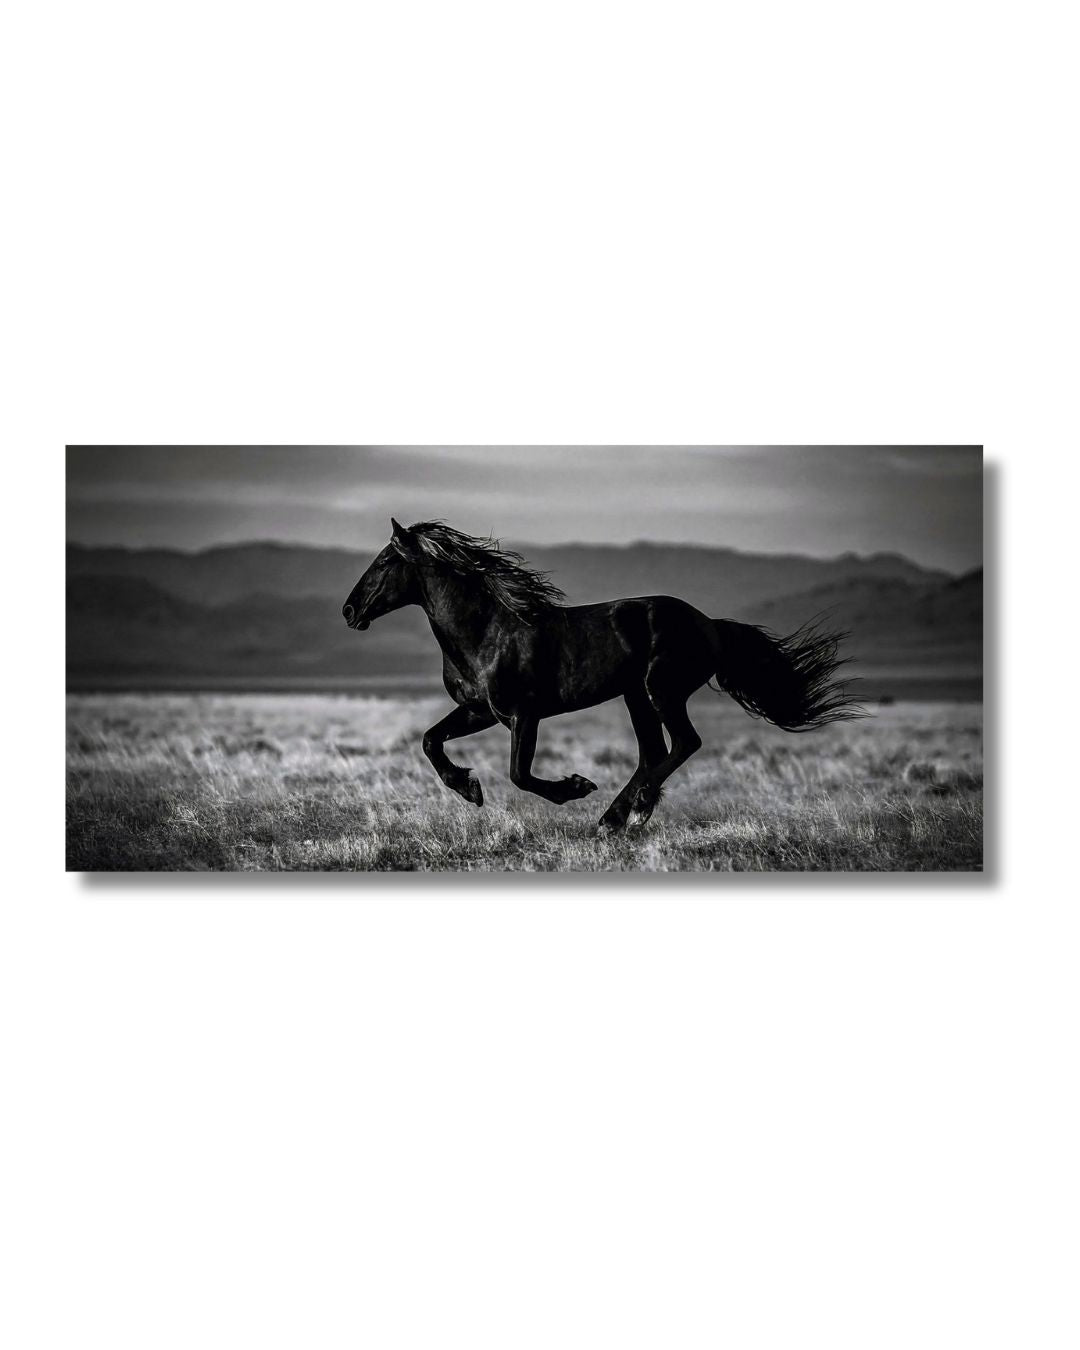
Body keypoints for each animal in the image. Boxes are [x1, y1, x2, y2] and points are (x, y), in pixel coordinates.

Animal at [342, 519, 861, 834]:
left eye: (385, 562)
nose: (349, 611)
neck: (486, 630)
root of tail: (710, 625)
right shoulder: (479, 711)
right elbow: (431, 740)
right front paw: (468, 788)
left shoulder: (523, 714)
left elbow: (519, 774)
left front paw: (574, 787)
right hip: (636, 697)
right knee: (654, 752)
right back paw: (618, 818)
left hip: (661, 690)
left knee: (683, 744)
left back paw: (630, 812)